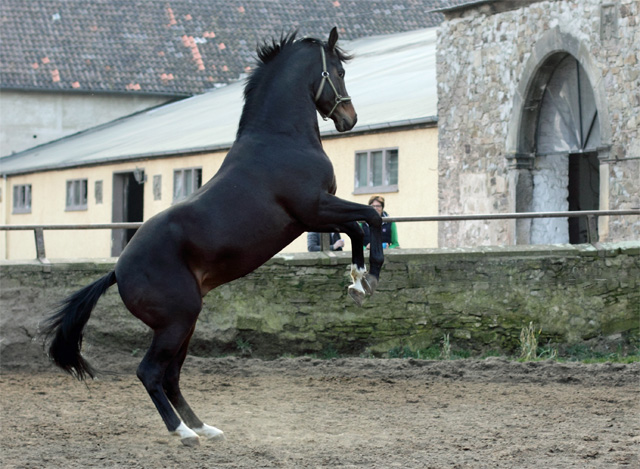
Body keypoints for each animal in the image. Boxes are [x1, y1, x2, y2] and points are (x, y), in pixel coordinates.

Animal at [46, 28, 384, 446]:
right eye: (338, 71)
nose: (349, 119)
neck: (281, 140)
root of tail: (118, 271)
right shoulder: (314, 209)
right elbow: (370, 218)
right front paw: (371, 275)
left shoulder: (312, 218)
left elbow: (357, 228)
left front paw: (358, 282)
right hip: (176, 323)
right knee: (149, 373)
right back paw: (182, 432)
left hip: (185, 323)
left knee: (171, 376)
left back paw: (203, 427)